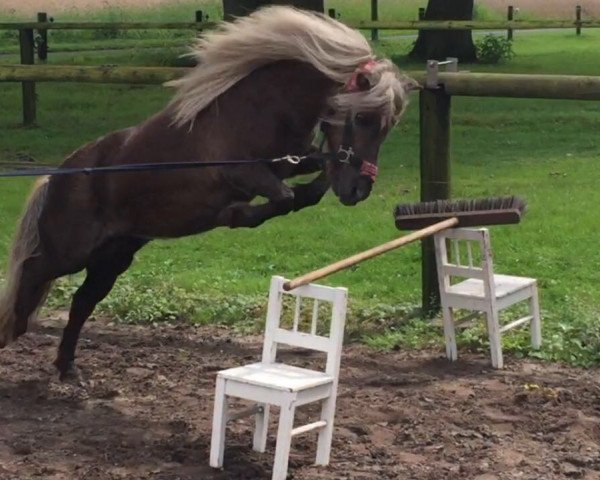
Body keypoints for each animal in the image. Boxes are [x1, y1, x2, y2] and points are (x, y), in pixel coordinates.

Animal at [0, 4, 420, 378]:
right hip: (70, 251)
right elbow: (284, 197)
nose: (359, 189)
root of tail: (57, 176)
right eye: (363, 118)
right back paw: (13, 333)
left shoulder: (292, 161)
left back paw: (67, 367)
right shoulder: (244, 172)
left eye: (387, 126)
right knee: (32, 270)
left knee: (81, 300)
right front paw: (235, 214)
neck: (258, 109)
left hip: (113, 256)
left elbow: (309, 187)